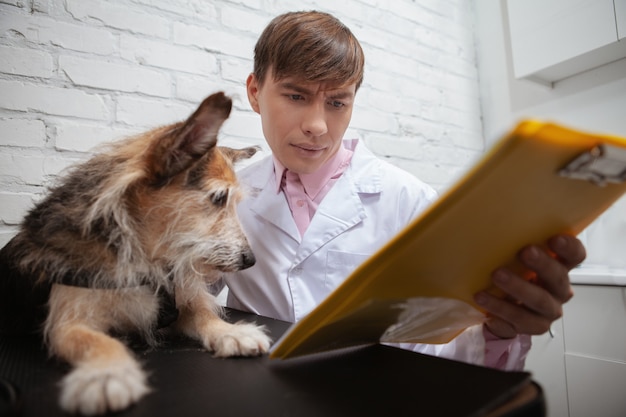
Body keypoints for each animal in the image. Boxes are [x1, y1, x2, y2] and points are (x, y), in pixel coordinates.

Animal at [0, 92, 270, 414]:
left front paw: (231, 331)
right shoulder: (68, 322)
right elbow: (98, 341)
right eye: (219, 198)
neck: (145, 255)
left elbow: (203, 314)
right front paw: (107, 374)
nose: (250, 260)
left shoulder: (178, 306)